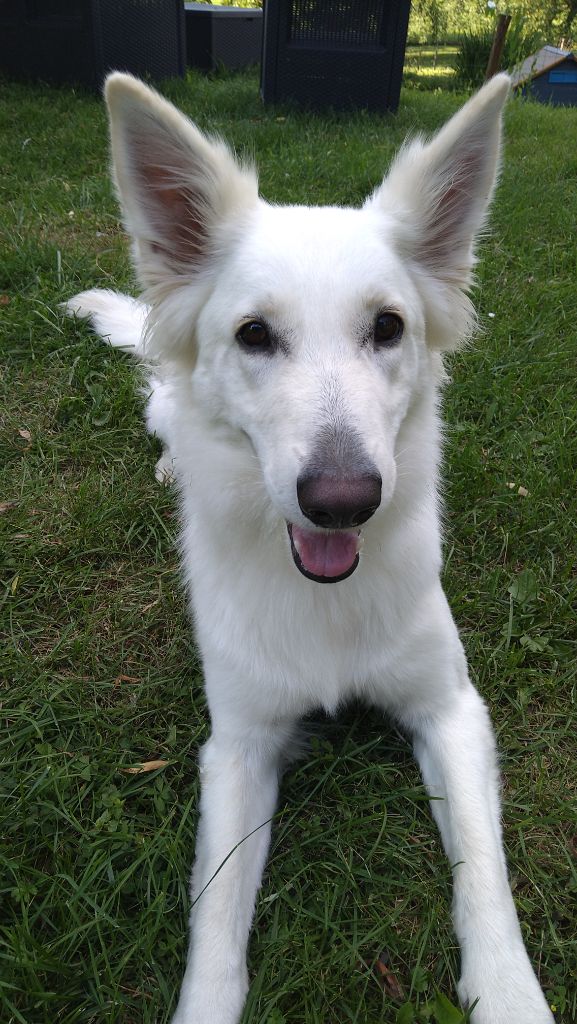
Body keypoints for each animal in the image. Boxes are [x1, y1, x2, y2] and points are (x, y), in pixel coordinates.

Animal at [67, 74, 553, 1024]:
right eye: (254, 335)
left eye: (388, 327)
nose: (342, 502)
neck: (325, 599)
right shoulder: (237, 747)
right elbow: (218, 919)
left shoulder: (451, 710)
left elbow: (486, 877)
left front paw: (511, 996)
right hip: (164, 406)